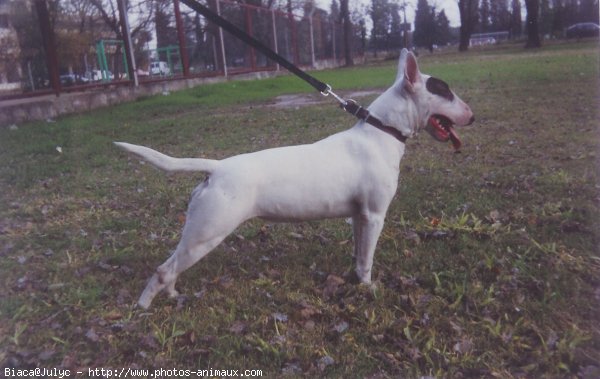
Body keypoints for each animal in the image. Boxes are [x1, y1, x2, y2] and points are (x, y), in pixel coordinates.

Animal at [116, 49, 474, 308]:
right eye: (446, 91)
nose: (472, 116)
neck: (380, 131)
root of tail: (216, 169)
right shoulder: (375, 215)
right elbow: (368, 259)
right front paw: (369, 288)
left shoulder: (360, 217)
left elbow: (359, 253)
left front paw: (355, 279)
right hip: (207, 233)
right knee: (163, 270)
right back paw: (143, 307)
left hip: (197, 234)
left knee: (171, 267)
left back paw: (173, 295)